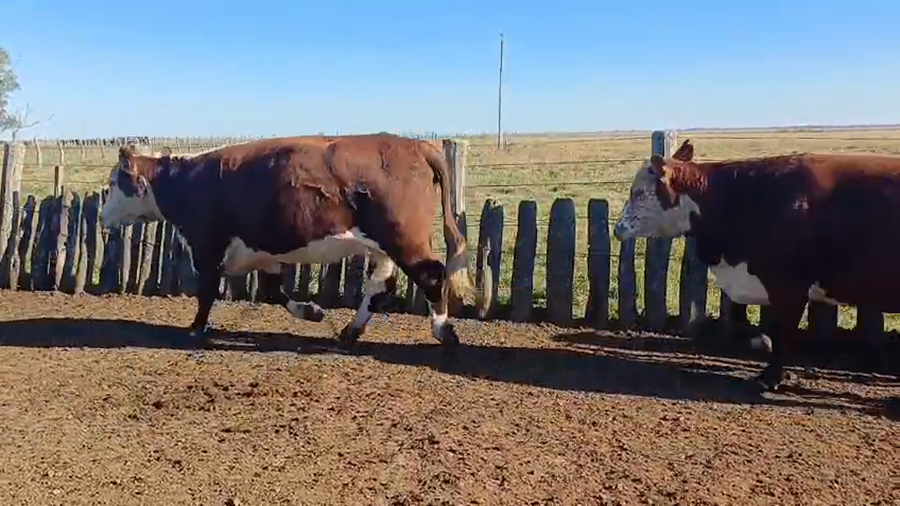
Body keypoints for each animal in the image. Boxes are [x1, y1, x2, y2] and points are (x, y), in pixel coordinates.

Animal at [99, 133, 474, 346]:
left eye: (114, 182)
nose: (102, 216)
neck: (187, 182)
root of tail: (414, 144)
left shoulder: (206, 246)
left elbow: (206, 291)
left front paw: (195, 328)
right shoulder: (265, 253)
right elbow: (272, 291)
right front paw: (312, 311)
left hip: (404, 238)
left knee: (431, 273)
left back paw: (443, 329)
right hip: (385, 245)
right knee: (381, 283)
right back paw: (352, 330)